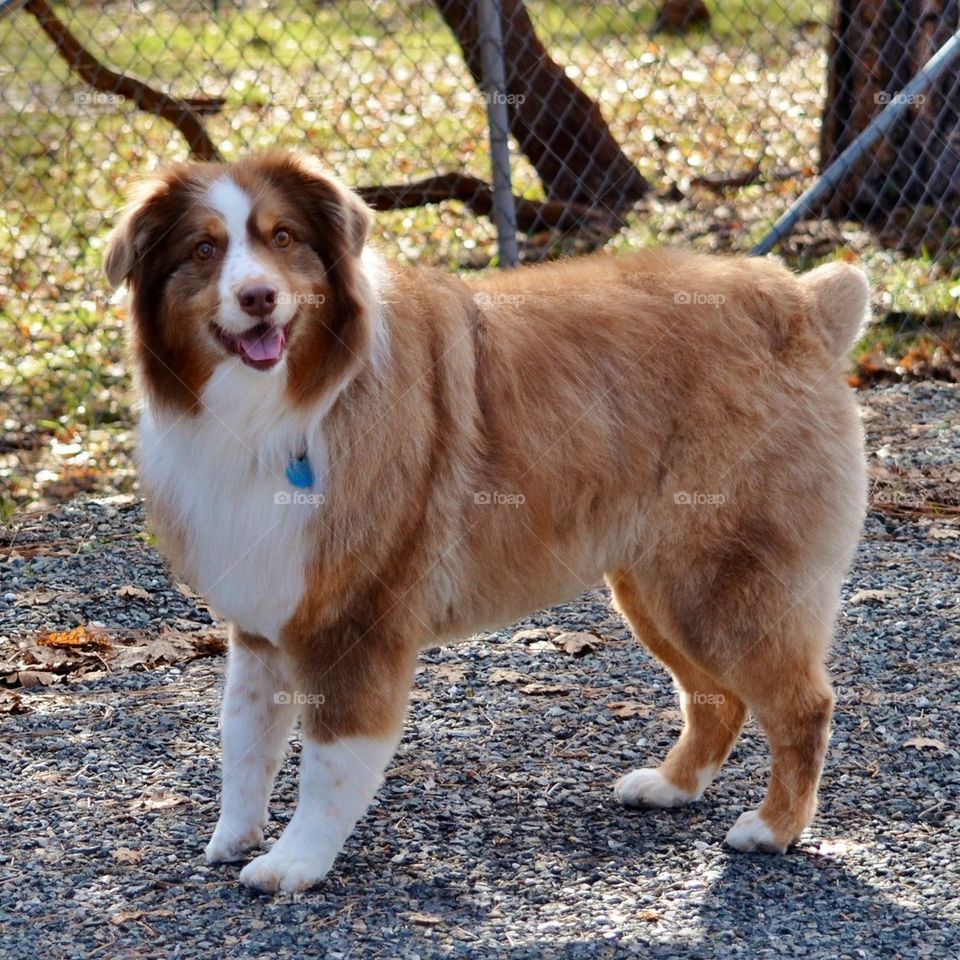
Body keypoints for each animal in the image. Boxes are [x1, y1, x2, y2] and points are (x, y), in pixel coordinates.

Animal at [105, 150, 872, 892]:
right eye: (204, 249)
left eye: (283, 237)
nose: (257, 297)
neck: (284, 409)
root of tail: (803, 302)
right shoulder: (263, 617)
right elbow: (245, 738)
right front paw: (234, 836)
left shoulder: (358, 623)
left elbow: (329, 764)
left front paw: (297, 862)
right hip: (658, 585)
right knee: (717, 697)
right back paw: (672, 786)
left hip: (720, 581)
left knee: (803, 703)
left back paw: (773, 828)